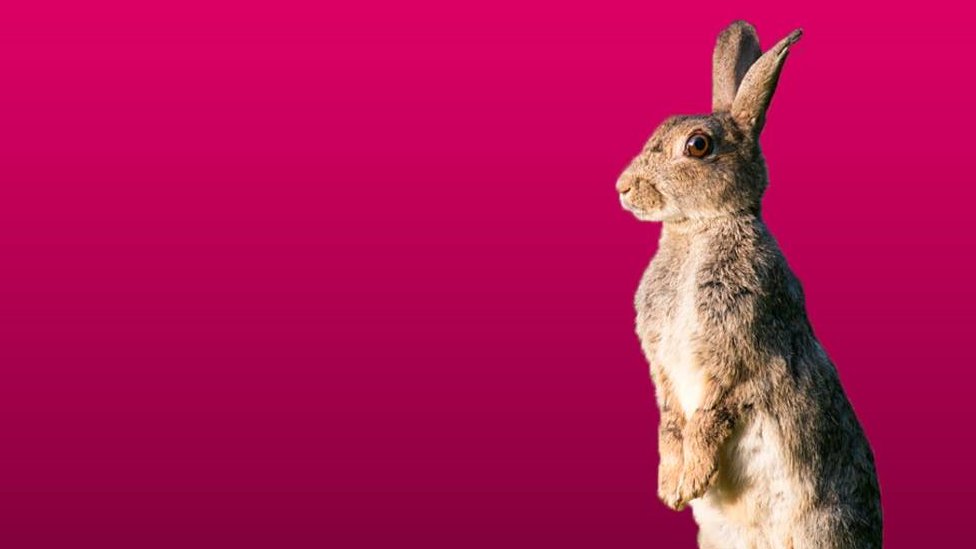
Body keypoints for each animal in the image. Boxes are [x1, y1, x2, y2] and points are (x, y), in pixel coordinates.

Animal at [615, 21, 882, 548]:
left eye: (698, 146)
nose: (623, 188)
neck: (700, 228)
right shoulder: (663, 369)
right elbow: (671, 421)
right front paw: (671, 489)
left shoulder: (739, 350)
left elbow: (710, 416)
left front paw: (692, 481)